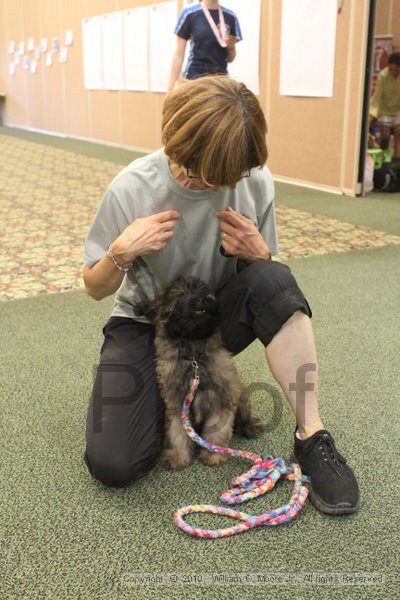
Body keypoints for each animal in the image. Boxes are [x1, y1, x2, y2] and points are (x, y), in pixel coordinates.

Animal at [139, 276, 264, 468]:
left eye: (203, 289)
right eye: (179, 295)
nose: (200, 299)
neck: (194, 356)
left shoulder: (222, 400)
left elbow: (217, 430)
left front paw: (213, 454)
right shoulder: (176, 404)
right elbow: (177, 431)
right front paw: (178, 456)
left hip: (241, 395)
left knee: (244, 417)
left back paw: (249, 427)